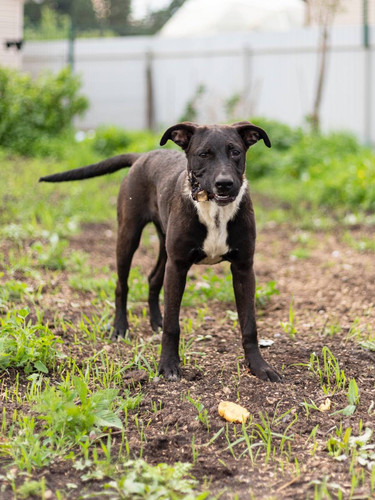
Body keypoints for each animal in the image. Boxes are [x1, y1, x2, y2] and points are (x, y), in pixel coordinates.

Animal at [40, 122, 282, 382]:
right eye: (203, 154)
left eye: (235, 152)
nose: (224, 183)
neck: (214, 210)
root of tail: (141, 156)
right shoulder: (178, 266)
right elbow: (172, 325)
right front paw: (168, 365)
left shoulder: (243, 268)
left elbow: (249, 325)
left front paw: (259, 366)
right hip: (128, 236)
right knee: (122, 285)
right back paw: (120, 328)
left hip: (164, 245)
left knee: (153, 278)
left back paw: (156, 319)